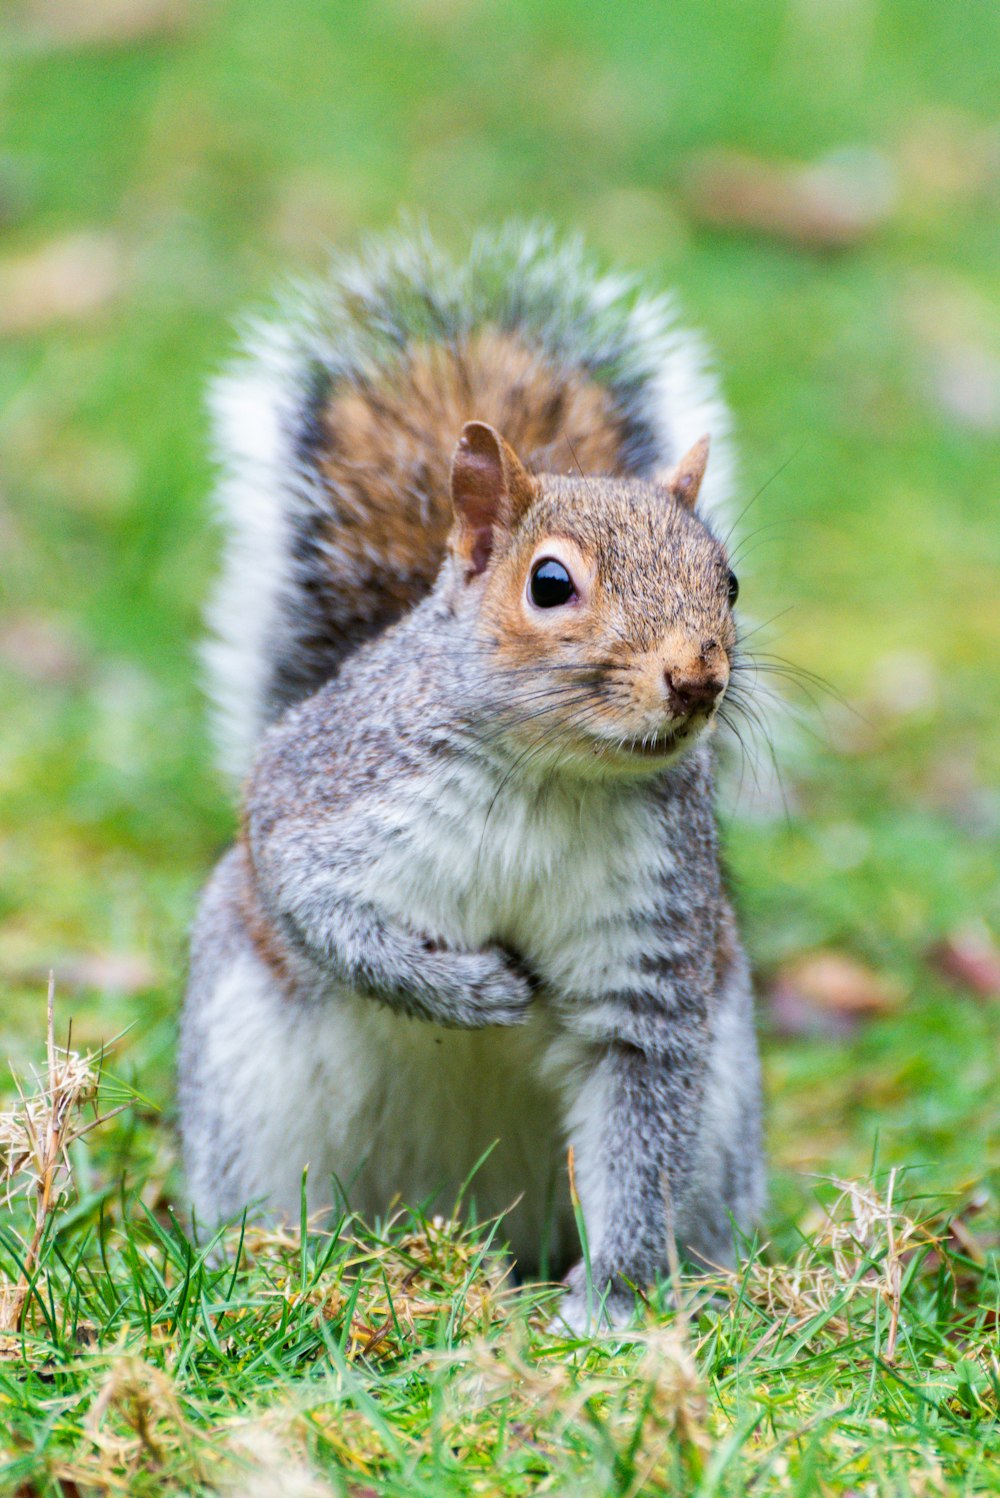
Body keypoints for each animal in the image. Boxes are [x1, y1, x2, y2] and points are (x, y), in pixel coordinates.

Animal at [177, 221, 766, 1324]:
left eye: (730, 581)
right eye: (551, 583)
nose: (697, 678)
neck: (551, 775)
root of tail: (468, 1211)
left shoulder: (648, 952)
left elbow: (638, 1133)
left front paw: (610, 1307)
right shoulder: (325, 800)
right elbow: (327, 916)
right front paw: (472, 993)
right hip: (247, 1096)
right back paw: (271, 1266)